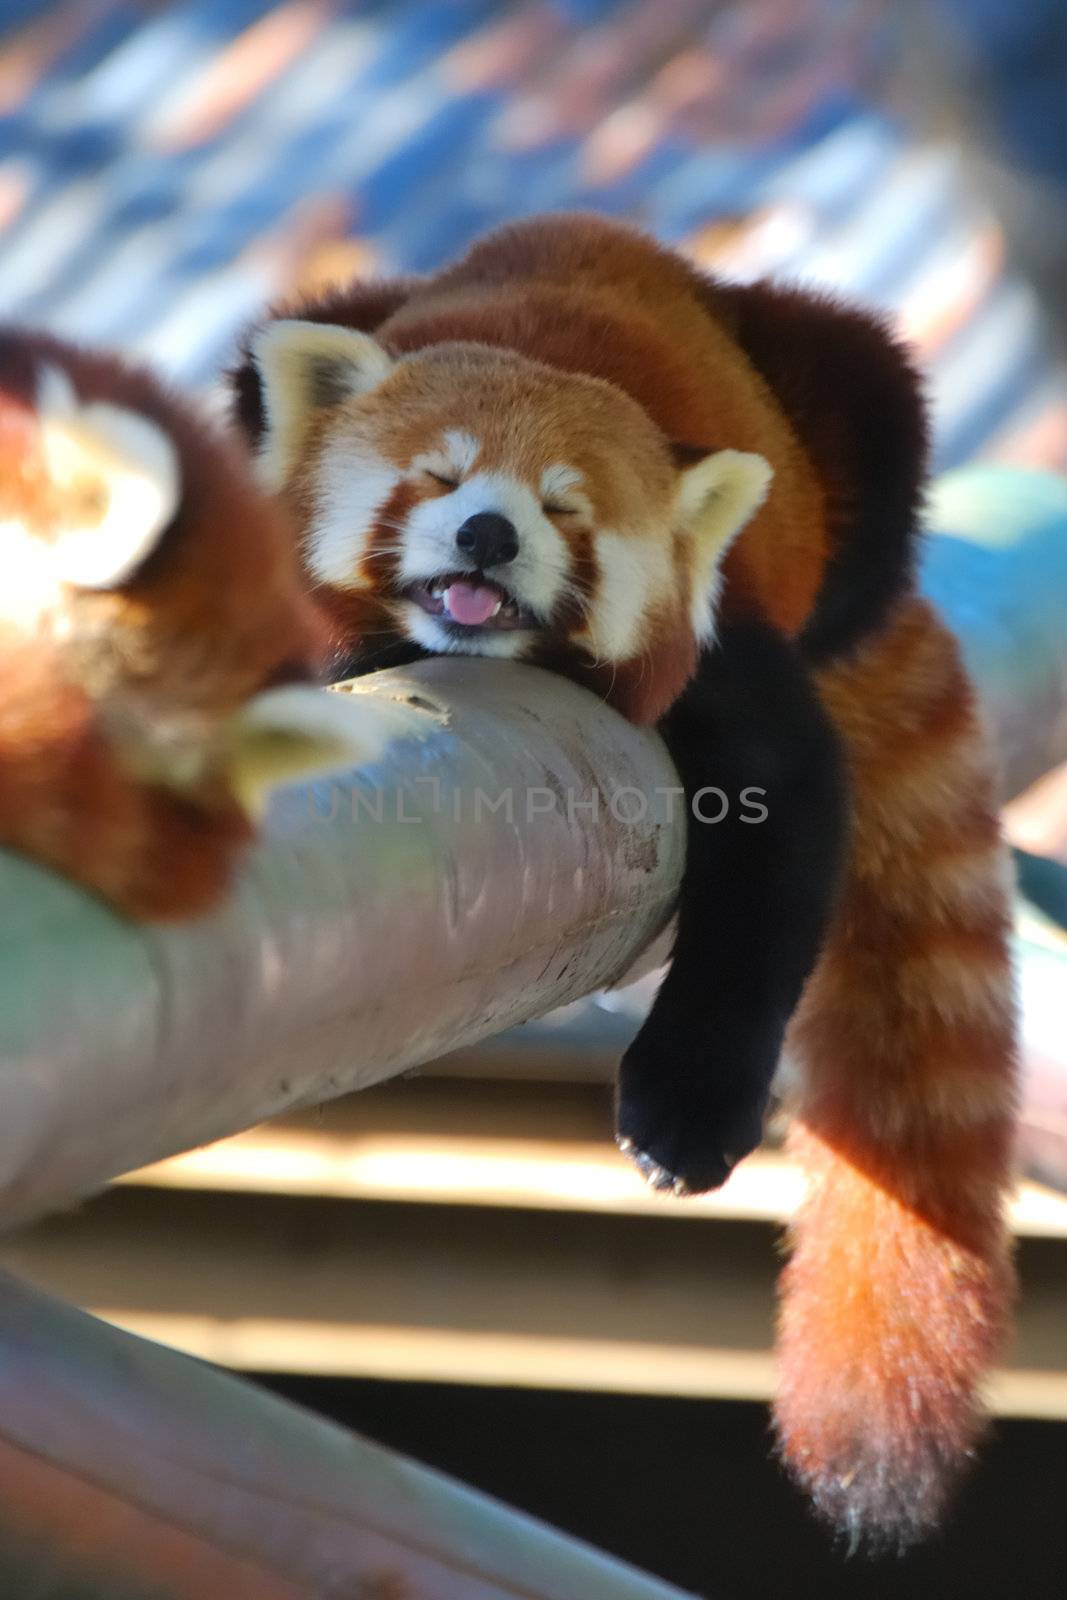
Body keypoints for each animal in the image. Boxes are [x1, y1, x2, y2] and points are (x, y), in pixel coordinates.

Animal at [231, 212, 1017, 1548]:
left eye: (564, 506)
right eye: (436, 480)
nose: (487, 534)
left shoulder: (719, 644)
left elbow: (776, 843)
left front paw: (686, 1111)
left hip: (828, 387)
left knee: (869, 408)